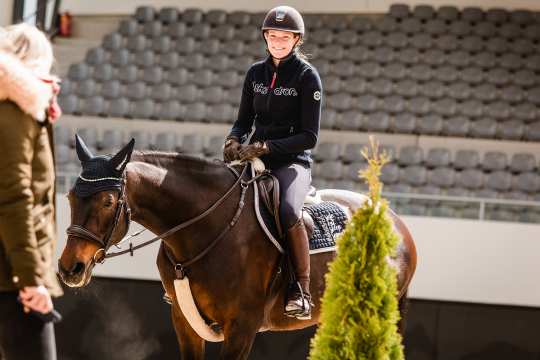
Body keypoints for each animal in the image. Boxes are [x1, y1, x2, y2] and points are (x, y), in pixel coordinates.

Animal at [57, 136, 418, 358]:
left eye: (107, 201)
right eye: (70, 197)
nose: (69, 268)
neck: (205, 229)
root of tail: (396, 221)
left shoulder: (242, 328)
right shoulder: (184, 322)